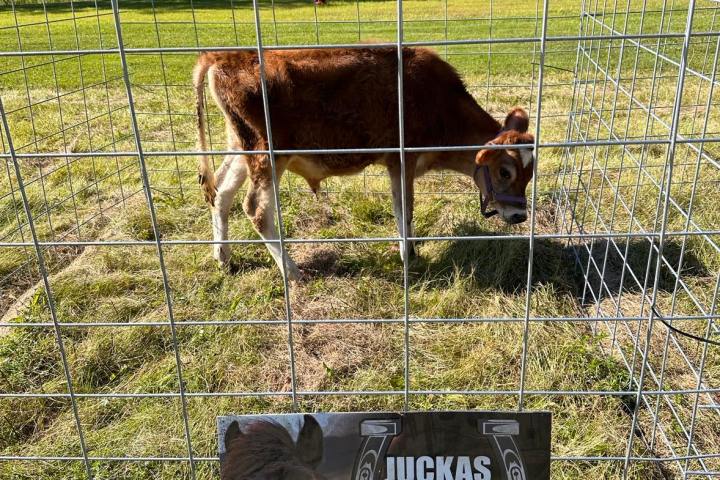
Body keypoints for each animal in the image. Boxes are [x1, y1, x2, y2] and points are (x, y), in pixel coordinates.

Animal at [194, 47, 535, 281]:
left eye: (530, 174)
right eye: (505, 171)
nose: (519, 215)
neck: (441, 104)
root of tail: (226, 56)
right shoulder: (402, 160)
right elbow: (404, 210)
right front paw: (408, 255)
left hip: (242, 149)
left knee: (221, 193)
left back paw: (222, 256)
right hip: (268, 156)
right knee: (256, 209)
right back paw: (292, 272)